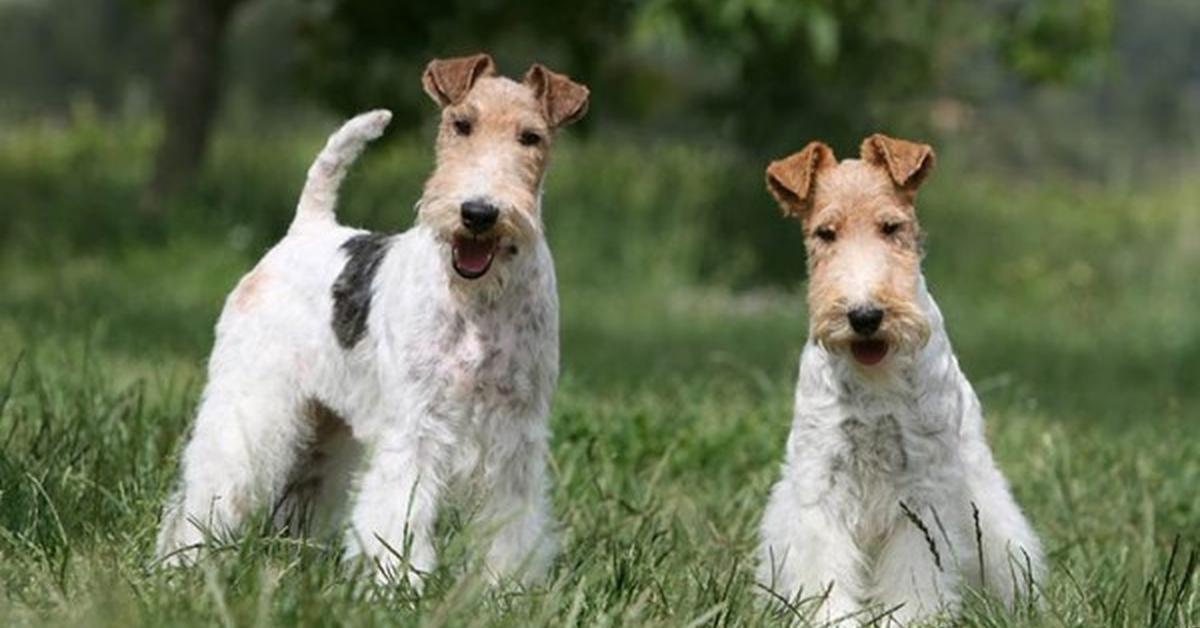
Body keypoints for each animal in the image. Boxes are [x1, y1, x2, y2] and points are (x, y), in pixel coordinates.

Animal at [157, 54, 588, 590]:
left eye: (531, 137)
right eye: (461, 124)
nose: (478, 213)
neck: (479, 299)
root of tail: (308, 228)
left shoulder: (515, 436)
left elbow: (511, 527)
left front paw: (504, 589)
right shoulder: (416, 426)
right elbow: (399, 512)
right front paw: (399, 586)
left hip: (324, 426)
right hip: (252, 402)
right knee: (209, 483)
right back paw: (184, 561)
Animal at [758, 136, 1041, 624]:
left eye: (891, 227)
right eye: (824, 233)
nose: (865, 316)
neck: (875, 379)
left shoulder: (922, 488)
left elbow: (917, 572)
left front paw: (910, 618)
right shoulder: (822, 482)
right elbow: (824, 569)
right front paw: (830, 617)